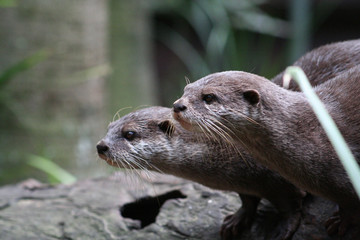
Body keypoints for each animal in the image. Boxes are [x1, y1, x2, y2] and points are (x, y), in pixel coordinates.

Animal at [97, 107, 304, 240]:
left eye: (130, 134)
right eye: (109, 128)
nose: (101, 146)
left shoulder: (276, 175)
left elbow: (288, 204)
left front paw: (284, 227)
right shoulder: (243, 181)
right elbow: (248, 199)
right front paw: (236, 220)